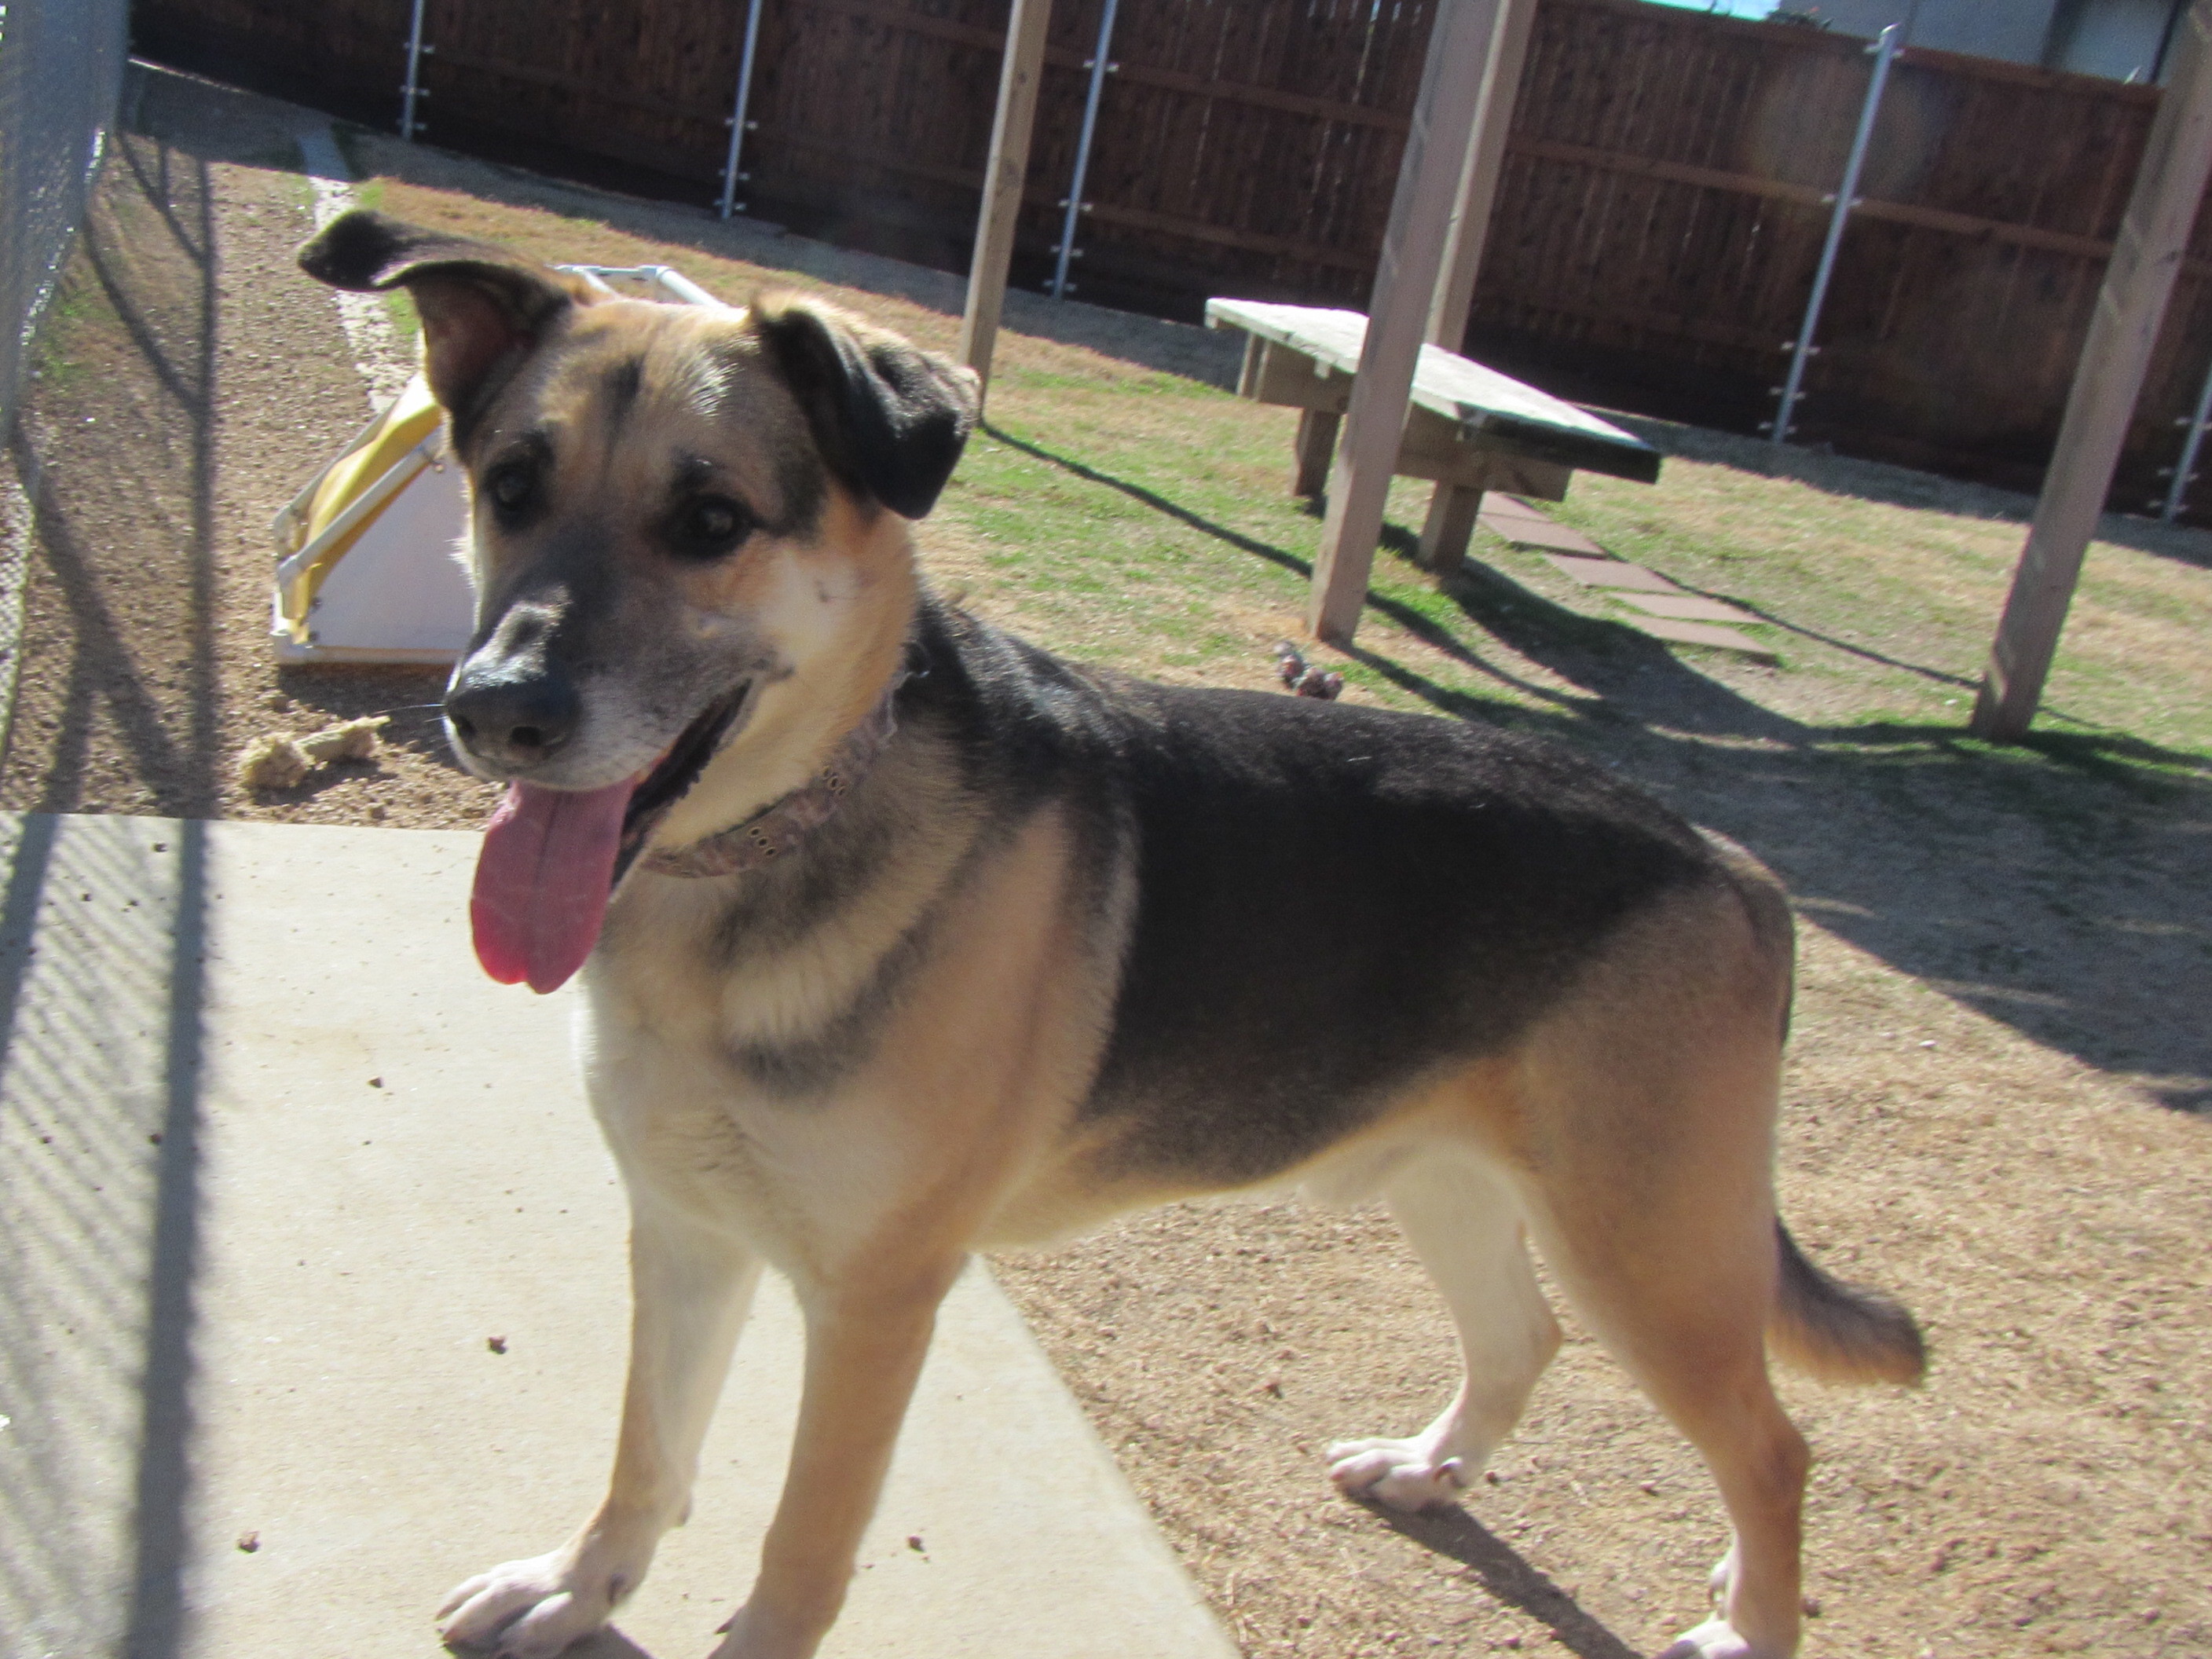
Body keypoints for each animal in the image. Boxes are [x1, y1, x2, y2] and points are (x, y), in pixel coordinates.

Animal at [302, 214, 1928, 1659]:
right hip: (1451, 1176)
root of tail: (1726, 857)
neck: (776, 848)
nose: (495, 710)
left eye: (712, 522)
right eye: (511, 485)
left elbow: (801, 1546)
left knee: (1773, 1450)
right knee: (1524, 1336)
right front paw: (577, 1589)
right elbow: (646, 1454)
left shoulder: (875, 1303)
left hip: (1647, 1249)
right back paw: (1434, 1466)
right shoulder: (687, 1231)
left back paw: (1747, 1621)